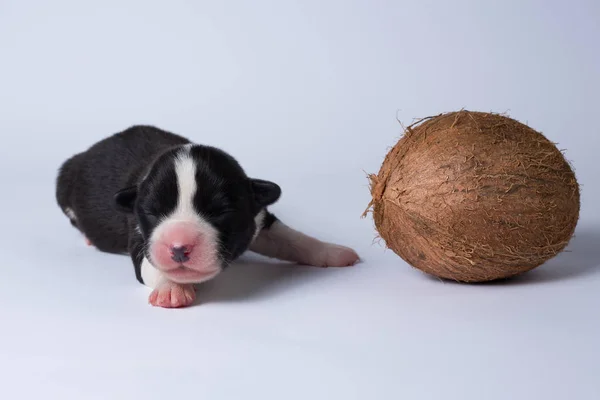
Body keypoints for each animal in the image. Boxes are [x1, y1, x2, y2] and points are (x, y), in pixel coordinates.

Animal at [56, 126, 358, 308]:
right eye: (152, 211)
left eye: (220, 212)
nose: (179, 248)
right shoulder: (140, 235)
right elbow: (151, 264)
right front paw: (171, 288)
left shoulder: (257, 216)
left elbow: (292, 239)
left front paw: (332, 251)